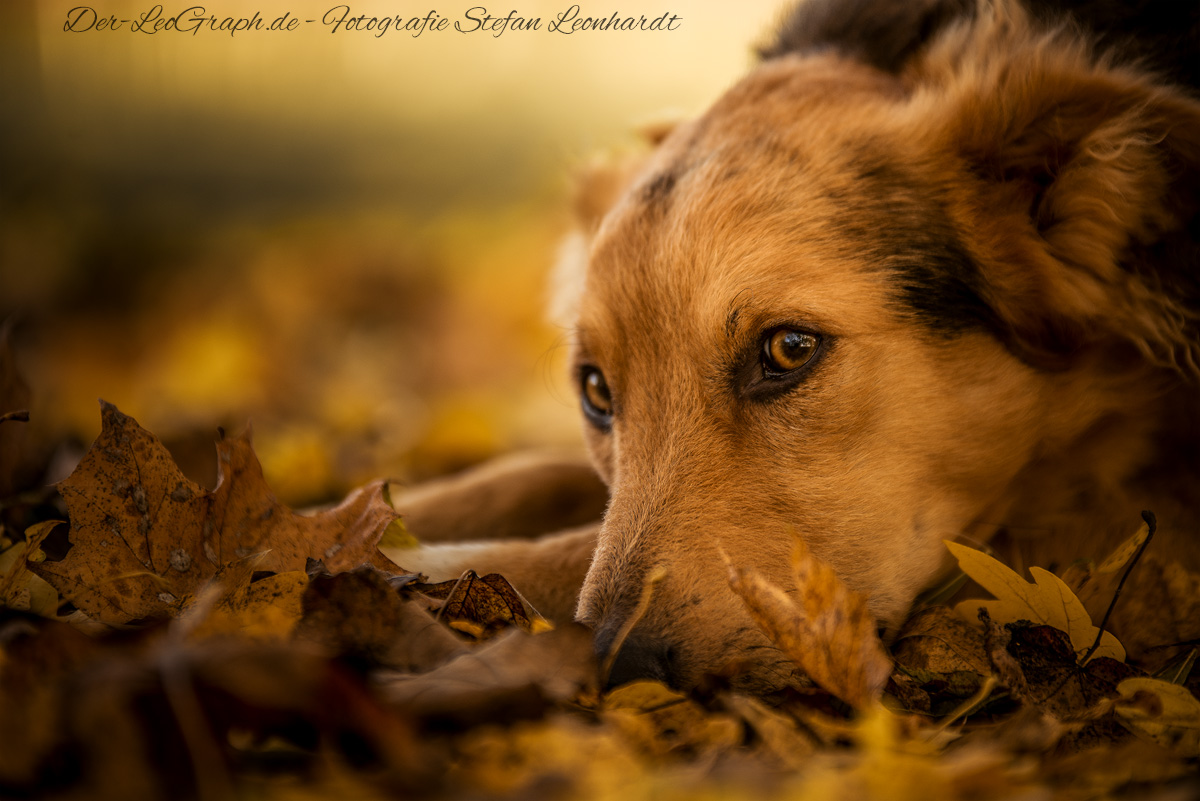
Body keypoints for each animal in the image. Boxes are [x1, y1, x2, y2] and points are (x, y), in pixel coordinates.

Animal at [396, 0, 1200, 690]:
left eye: (788, 349)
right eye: (596, 391)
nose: (620, 663)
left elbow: (557, 547)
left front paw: (412, 563)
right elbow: (527, 474)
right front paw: (383, 516)